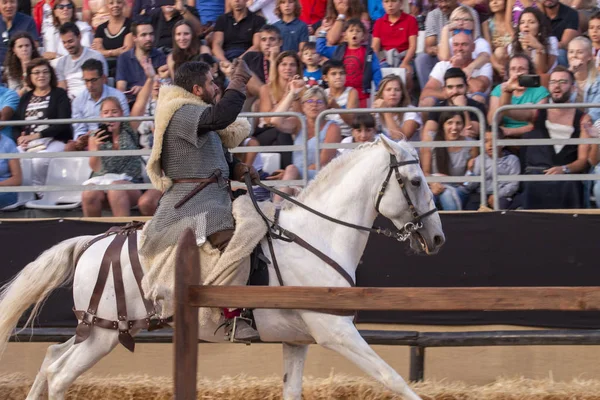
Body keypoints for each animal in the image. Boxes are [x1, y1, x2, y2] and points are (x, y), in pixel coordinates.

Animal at [0, 135, 442, 400]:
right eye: (416, 181)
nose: (437, 238)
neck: (317, 235)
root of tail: (92, 244)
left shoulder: (297, 341)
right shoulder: (336, 332)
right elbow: (392, 378)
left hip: (94, 331)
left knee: (50, 360)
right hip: (104, 335)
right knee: (60, 375)